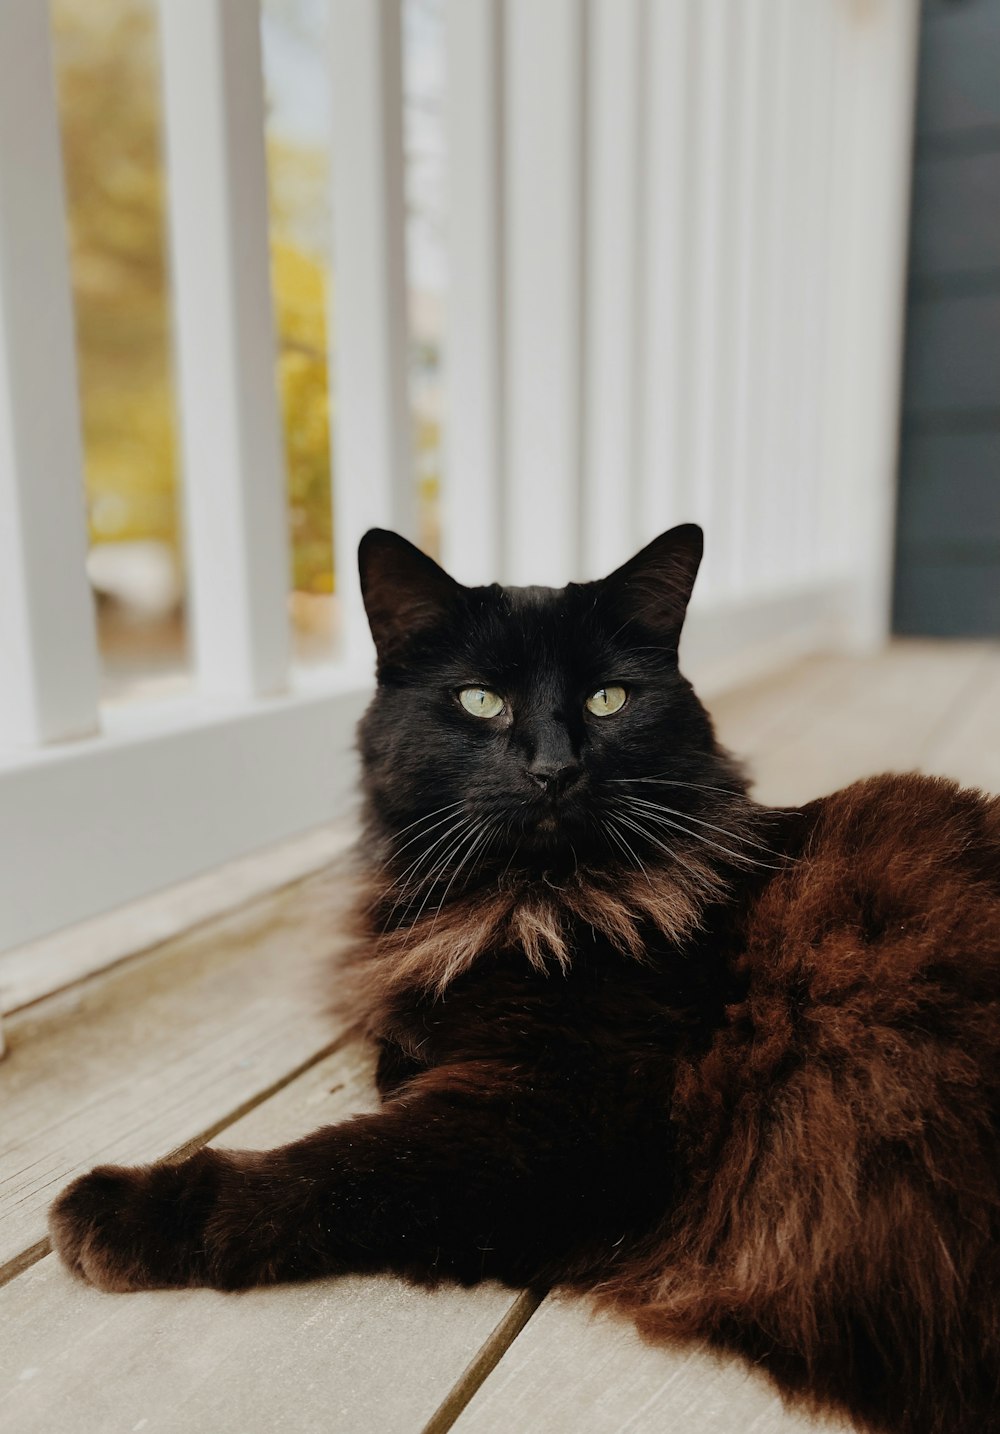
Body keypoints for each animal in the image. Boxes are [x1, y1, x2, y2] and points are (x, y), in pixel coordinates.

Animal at [48, 527, 998, 1434]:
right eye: (480, 700)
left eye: (608, 699)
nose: (552, 768)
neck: (531, 901)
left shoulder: (558, 1117)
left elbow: (333, 1167)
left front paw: (121, 1210)